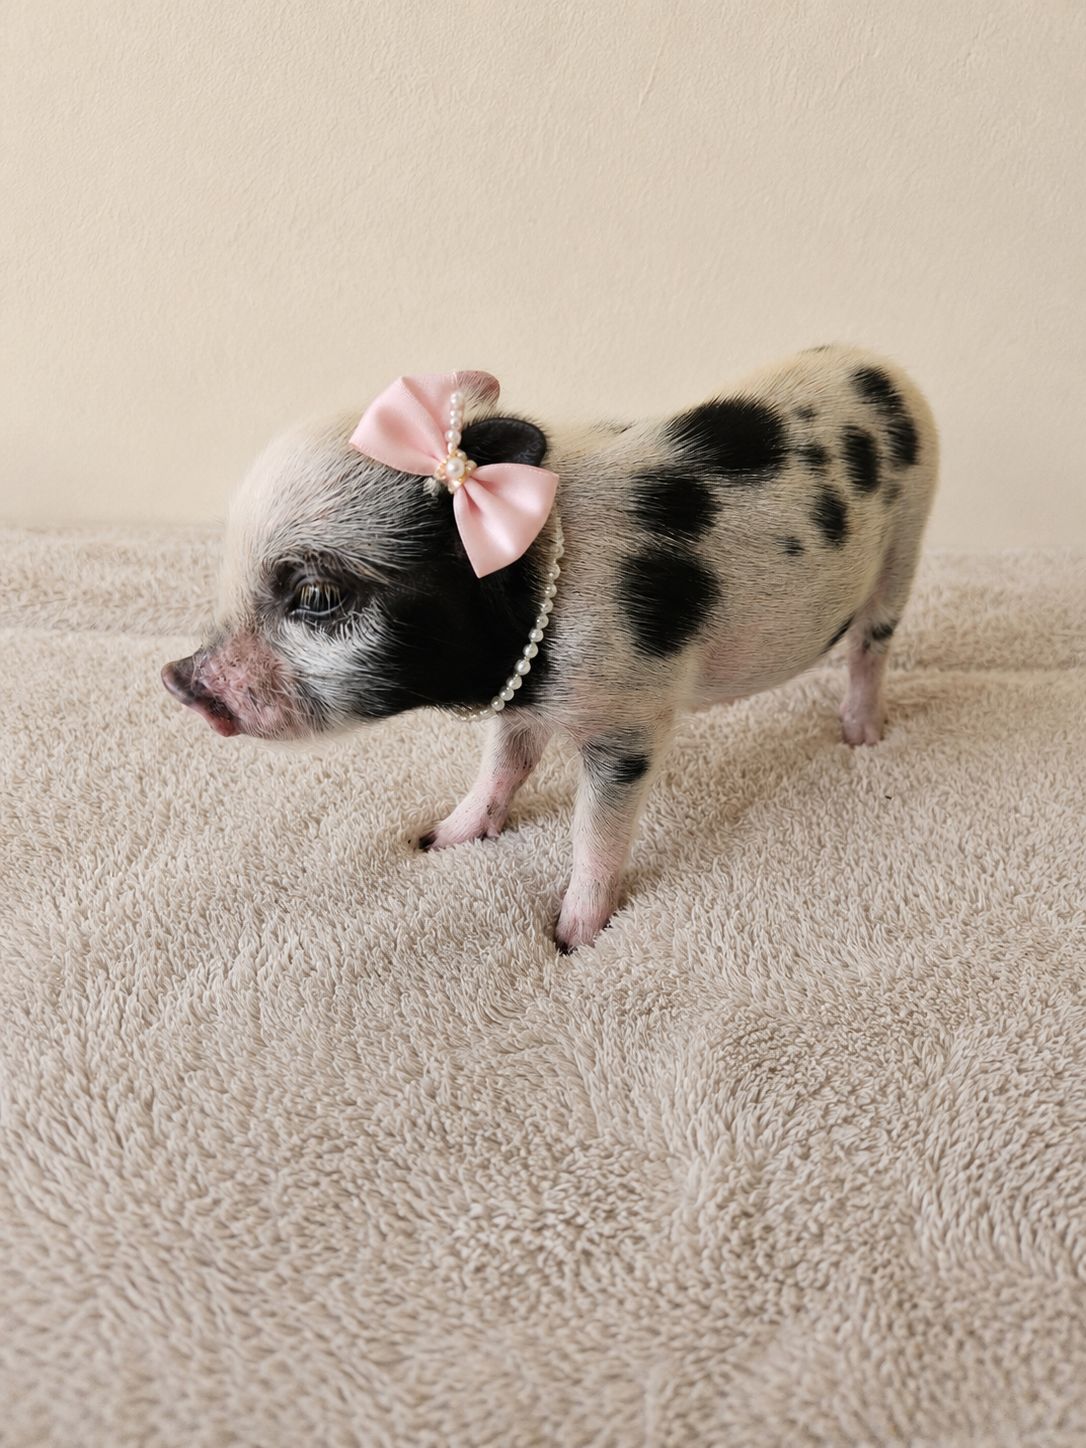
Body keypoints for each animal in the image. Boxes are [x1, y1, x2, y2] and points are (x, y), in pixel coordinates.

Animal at [163, 346, 938, 951]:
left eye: (318, 597)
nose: (178, 679)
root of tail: (886, 369)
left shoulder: (631, 722)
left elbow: (596, 832)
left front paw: (572, 938)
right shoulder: (523, 699)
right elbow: (501, 768)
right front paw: (437, 840)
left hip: (908, 541)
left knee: (872, 646)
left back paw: (862, 737)